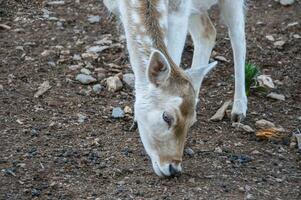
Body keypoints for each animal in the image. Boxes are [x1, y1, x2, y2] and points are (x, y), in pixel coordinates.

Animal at [103, 0, 246, 177]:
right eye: (166, 117)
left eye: (189, 121)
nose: (173, 168)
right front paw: (135, 118)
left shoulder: (179, 11)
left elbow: (173, 54)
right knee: (208, 31)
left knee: (238, 33)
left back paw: (238, 110)